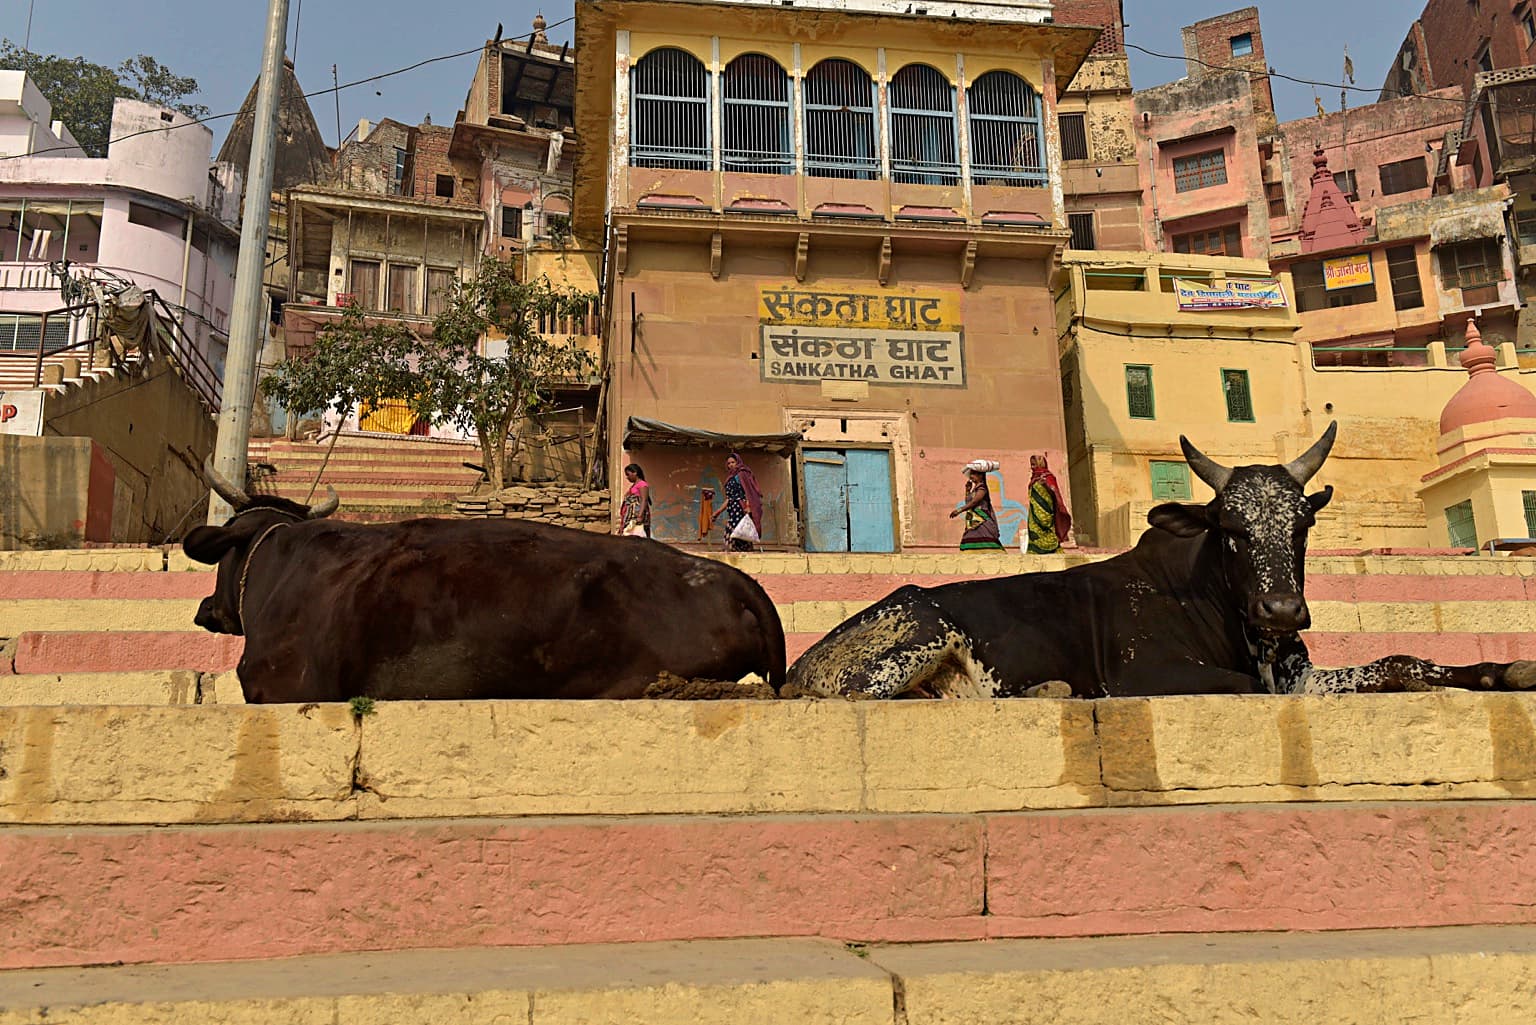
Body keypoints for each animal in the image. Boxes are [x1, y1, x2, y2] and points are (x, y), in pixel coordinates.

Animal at [787, 424, 1536, 699]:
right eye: (1230, 528)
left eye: (1303, 523)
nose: (1282, 608)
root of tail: (798, 665)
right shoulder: (1151, 674)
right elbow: (1246, 688)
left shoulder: (1302, 673)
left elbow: (1397, 660)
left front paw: (1501, 670)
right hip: (921, 636)